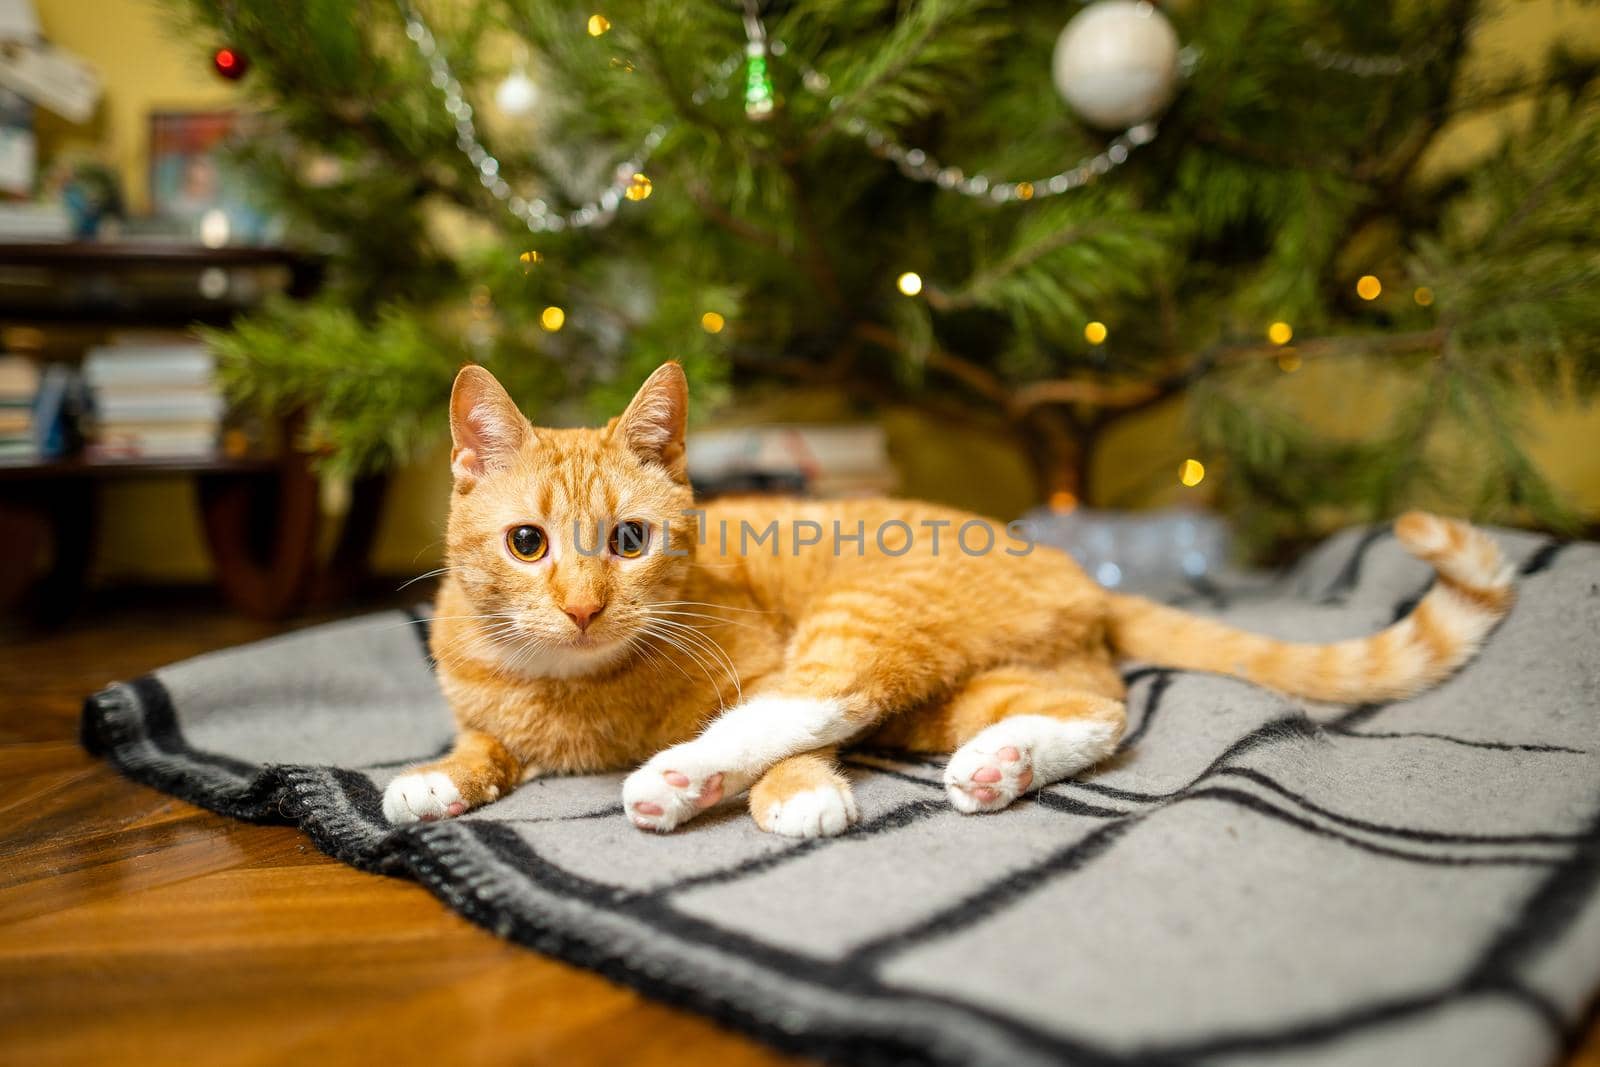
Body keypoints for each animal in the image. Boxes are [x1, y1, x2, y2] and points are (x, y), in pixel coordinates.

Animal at [380, 363, 1516, 838]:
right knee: (1097, 711)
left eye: (628, 540)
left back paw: (680, 778)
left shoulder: (758, 662)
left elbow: (778, 726)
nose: (579, 606)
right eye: (528, 544)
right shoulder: (489, 713)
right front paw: (430, 779)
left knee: (817, 702)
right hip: (957, 689)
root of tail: (1069, 565)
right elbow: (480, 747)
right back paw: (1000, 763)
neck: (573, 689)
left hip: (869, 617)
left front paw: (795, 795)